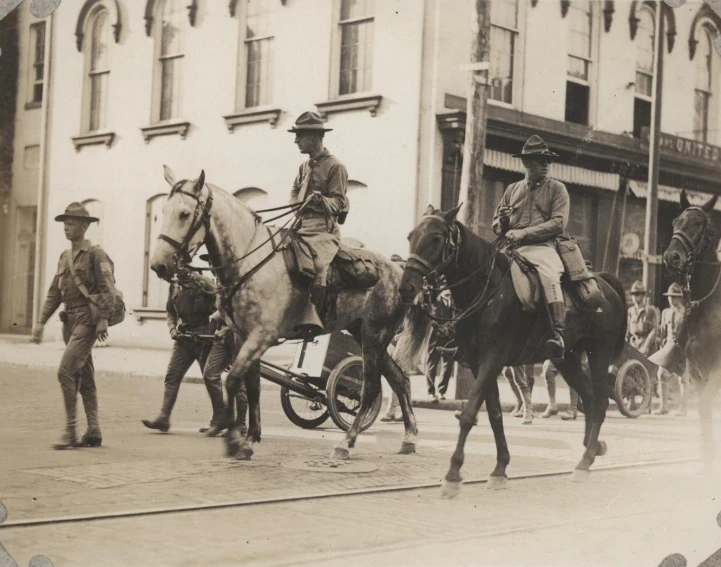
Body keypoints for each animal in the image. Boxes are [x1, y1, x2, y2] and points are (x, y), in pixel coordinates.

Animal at [396, 205, 628, 496]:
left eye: (437, 238)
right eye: (410, 236)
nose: (406, 288)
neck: (487, 291)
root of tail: (604, 282)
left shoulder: (492, 360)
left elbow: (469, 413)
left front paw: (452, 474)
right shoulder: (477, 364)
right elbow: (494, 414)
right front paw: (499, 469)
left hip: (599, 353)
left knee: (599, 402)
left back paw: (584, 463)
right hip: (567, 359)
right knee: (587, 397)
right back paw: (592, 449)